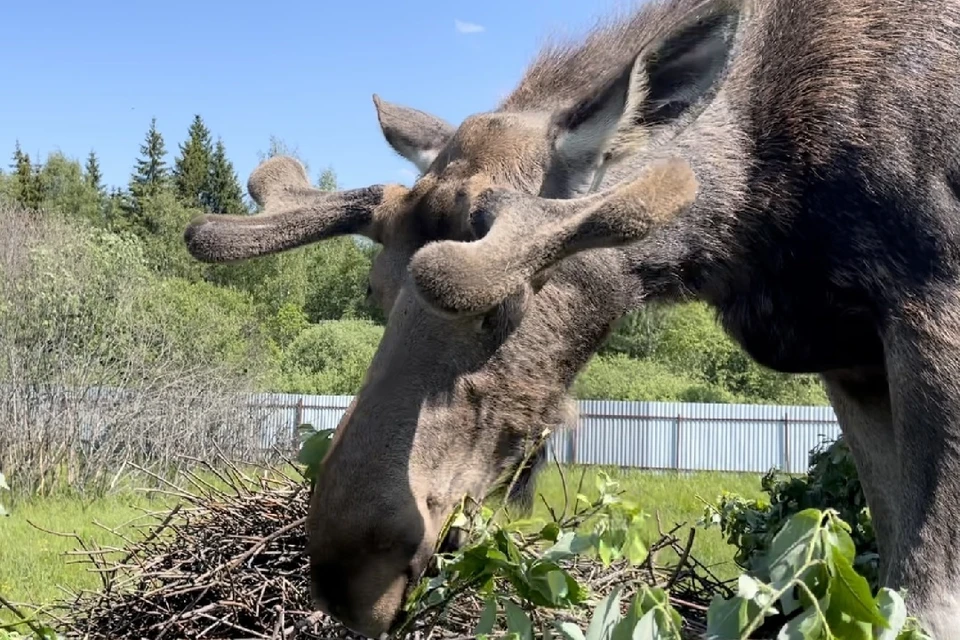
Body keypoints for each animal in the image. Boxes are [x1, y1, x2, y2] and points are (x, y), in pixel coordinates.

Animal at [184, 0, 960, 636]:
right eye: (377, 289)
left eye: (505, 300)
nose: (347, 570)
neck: (758, 215)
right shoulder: (848, 364)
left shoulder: (931, 304)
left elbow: (924, 600)